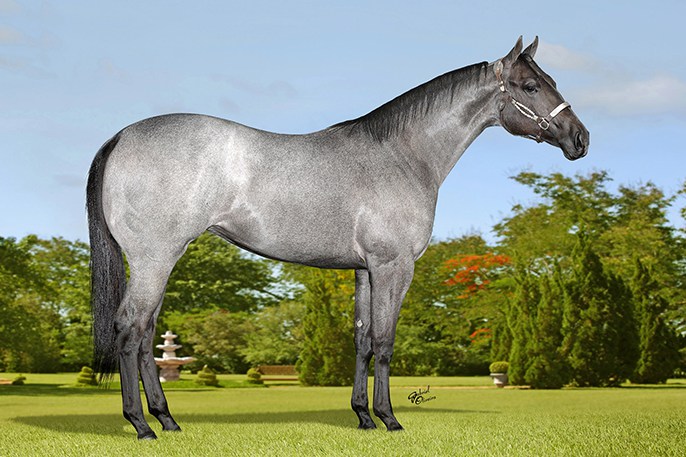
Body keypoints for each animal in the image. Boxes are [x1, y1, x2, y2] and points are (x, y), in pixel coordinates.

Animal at [87, 36, 589, 439]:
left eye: (550, 80)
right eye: (530, 87)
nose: (580, 139)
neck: (401, 156)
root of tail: (121, 137)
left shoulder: (365, 270)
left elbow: (363, 341)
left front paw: (363, 417)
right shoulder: (393, 267)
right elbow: (385, 342)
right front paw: (390, 419)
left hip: (159, 261)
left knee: (146, 333)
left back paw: (167, 419)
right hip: (155, 258)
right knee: (129, 329)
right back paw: (141, 425)